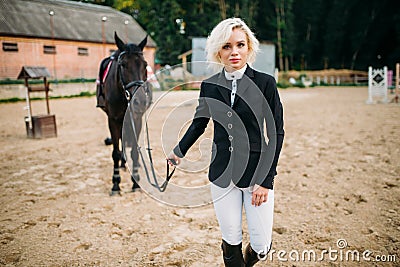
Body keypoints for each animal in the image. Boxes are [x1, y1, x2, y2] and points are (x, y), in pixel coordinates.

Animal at [98, 32, 152, 196]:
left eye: (145, 64)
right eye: (123, 65)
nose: (140, 101)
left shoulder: (136, 119)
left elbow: (134, 150)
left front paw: (135, 182)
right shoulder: (113, 120)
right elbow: (115, 152)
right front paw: (115, 184)